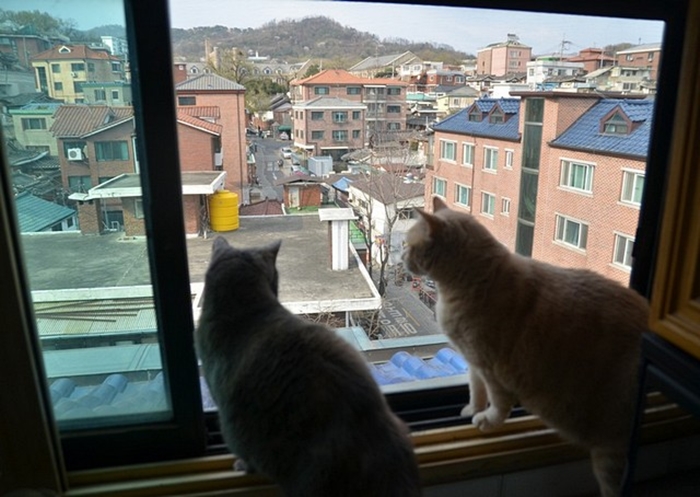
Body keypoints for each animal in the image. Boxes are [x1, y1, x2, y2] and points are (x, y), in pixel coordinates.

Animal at [402, 196, 648, 496]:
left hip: (610, 448)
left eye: (409, 245)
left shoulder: (492, 367)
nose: (401, 257)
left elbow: (498, 402)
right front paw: (473, 410)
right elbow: (475, 390)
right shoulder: (473, 362)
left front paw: (487, 420)